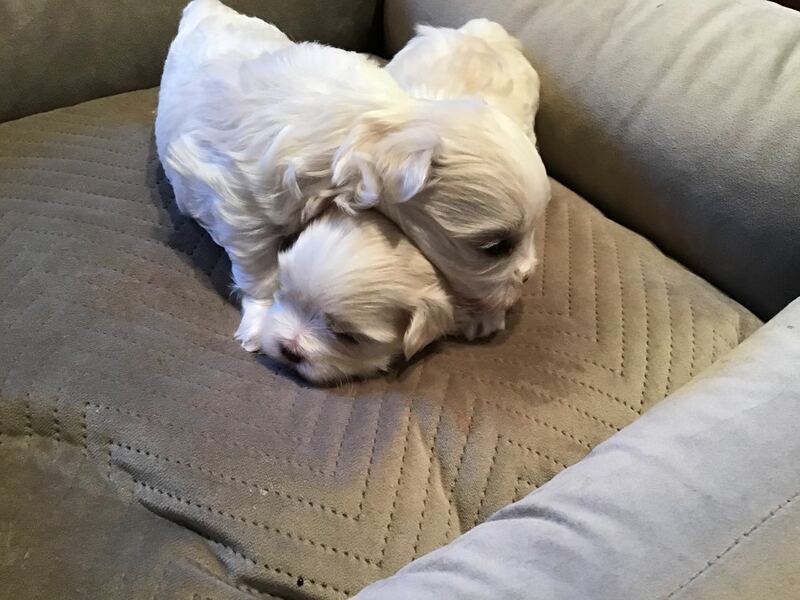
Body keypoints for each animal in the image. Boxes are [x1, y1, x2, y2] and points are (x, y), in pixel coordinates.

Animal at [155, 0, 549, 354]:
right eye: (495, 247)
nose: (529, 274)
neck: (366, 127)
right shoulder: (240, 208)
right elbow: (260, 271)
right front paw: (261, 323)